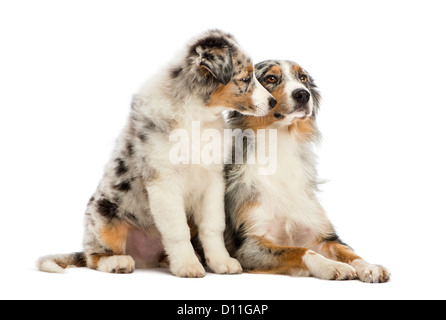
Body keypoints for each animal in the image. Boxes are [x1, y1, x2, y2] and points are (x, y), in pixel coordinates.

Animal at [38, 30, 276, 278]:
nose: (274, 102)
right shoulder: (164, 182)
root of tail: (144, 258)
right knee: (93, 256)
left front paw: (221, 261)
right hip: (102, 215)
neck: (197, 119)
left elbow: (213, 226)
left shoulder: (213, 180)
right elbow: (177, 230)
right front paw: (188, 266)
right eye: (246, 79)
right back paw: (116, 261)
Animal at [225, 60, 388, 282]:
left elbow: (348, 252)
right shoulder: (249, 245)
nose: (303, 94)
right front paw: (331, 266)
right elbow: (299, 251)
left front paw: (369, 266)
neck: (280, 146)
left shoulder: (320, 235)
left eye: (303, 78)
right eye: (270, 78)